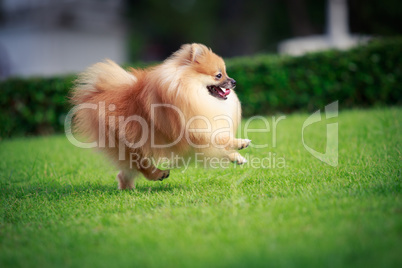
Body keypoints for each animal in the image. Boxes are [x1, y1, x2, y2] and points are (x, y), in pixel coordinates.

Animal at [70, 43, 250, 188]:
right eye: (219, 75)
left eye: (226, 73)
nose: (234, 81)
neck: (190, 91)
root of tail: (98, 94)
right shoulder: (194, 131)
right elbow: (220, 140)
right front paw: (239, 144)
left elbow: (220, 144)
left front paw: (236, 155)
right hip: (130, 145)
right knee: (141, 165)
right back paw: (157, 174)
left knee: (124, 173)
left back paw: (128, 189)